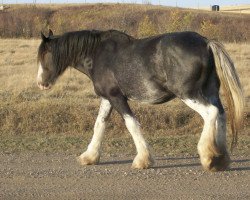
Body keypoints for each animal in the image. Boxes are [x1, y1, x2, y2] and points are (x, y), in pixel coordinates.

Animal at [37, 28, 244, 171]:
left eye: (45, 54)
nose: (41, 83)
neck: (98, 55)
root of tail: (206, 43)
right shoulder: (107, 98)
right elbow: (99, 124)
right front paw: (89, 156)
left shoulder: (117, 98)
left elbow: (131, 124)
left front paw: (143, 159)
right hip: (210, 92)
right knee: (222, 115)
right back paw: (221, 159)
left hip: (189, 94)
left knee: (211, 113)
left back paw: (208, 156)